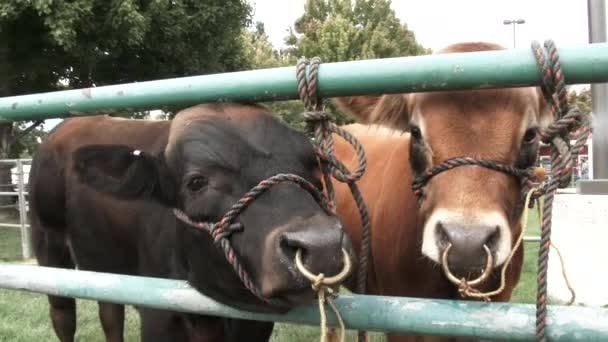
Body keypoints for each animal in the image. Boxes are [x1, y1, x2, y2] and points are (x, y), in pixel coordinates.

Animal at [29, 102, 356, 342]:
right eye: (196, 182)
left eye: (314, 171)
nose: (323, 246)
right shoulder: (159, 318)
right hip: (49, 247)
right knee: (63, 315)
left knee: (110, 314)